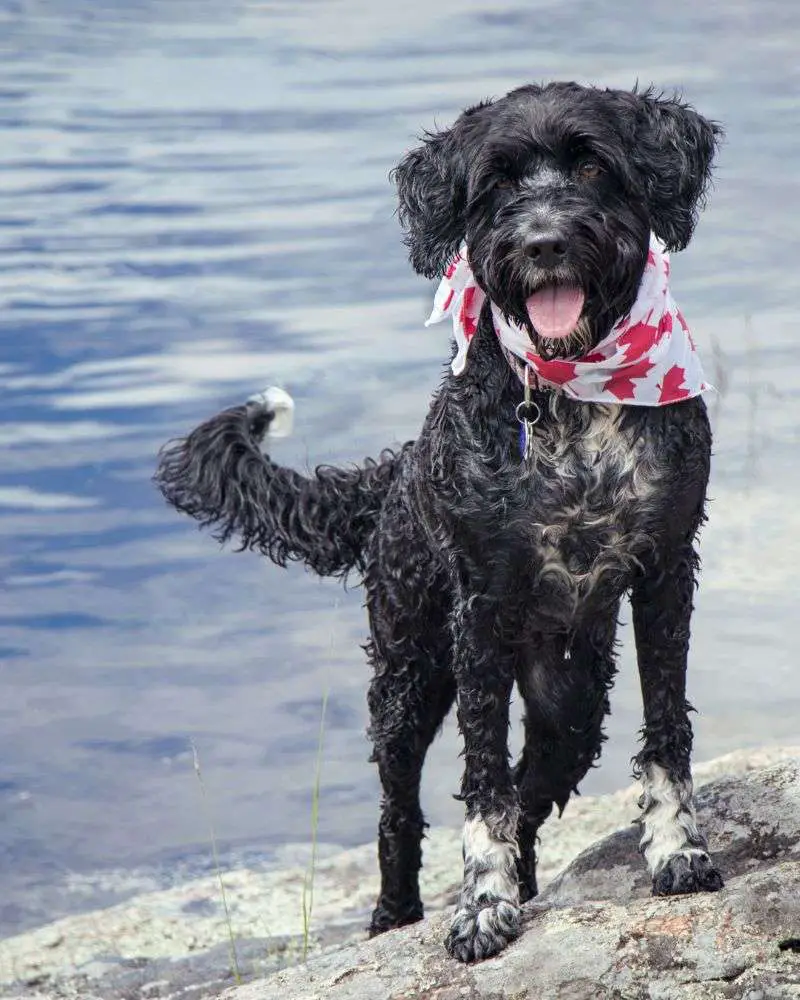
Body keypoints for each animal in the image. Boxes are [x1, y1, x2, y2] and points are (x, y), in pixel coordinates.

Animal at [155, 84, 724, 960]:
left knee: (533, 792)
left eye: (593, 165)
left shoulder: (666, 569)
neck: (569, 394)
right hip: (407, 678)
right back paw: (397, 914)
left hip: (571, 700)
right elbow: (481, 781)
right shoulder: (480, 611)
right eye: (496, 182)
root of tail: (394, 473)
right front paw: (482, 906)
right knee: (400, 813)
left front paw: (675, 851)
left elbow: (664, 732)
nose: (544, 242)